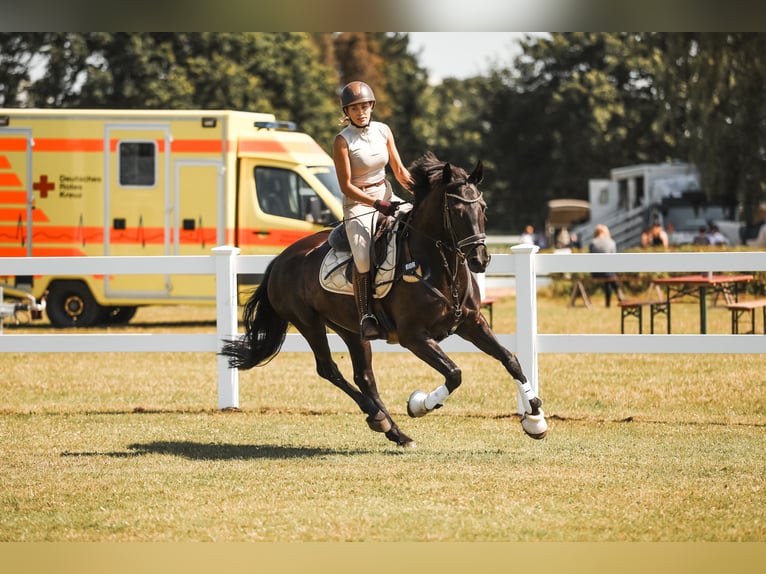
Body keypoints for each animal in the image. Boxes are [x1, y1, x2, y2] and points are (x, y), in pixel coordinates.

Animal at [220, 152, 547, 448]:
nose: (480, 259)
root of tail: (280, 259)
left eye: (482, 207)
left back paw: (394, 431)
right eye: (455, 209)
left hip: (351, 329)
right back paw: (380, 419)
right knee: (329, 369)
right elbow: (454, 374)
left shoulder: (471, 323)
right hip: (308, 322)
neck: (438, 266)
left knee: (364, 376)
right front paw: (419, 405)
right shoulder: (414, 337)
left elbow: (510, 359)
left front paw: (535, 419)